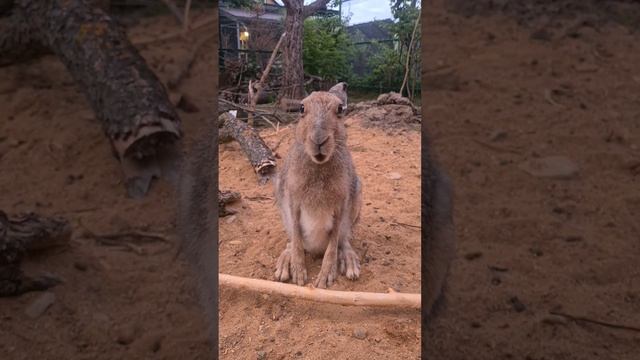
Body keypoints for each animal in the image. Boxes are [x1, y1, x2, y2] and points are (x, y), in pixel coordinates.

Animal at [276, 83, 362, 288]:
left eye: (340, 110)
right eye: (301, 108)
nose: (318, 140)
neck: (319, 164)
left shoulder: (340, 206)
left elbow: (332, 244)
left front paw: (325, 278)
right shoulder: (293, 202)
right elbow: (297, 239)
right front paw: (299, 274)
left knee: (343, 241)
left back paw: (351, 264)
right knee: (291, 242)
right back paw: (284, 264)